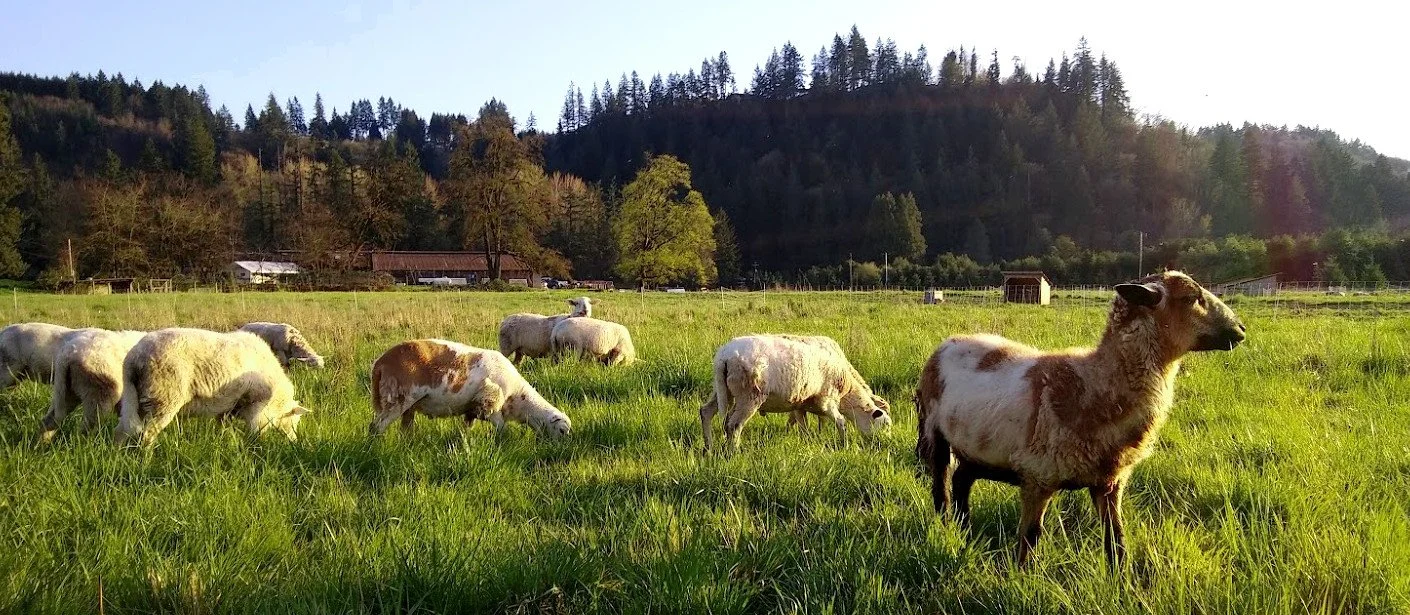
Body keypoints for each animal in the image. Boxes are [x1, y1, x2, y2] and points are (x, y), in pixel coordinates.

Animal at [115, 328, 308, 446]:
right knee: (146, 434)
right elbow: (255, 430)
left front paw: (226, 442)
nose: (294, 441)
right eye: (295, 421)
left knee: (123, 430)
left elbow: (223, 426)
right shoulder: (257, 405)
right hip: (163, 398)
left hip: (135, 398)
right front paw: (254, 447)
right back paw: (146, 460)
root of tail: (134, 358)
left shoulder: (229, 406)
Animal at [368, 339, 571, 438]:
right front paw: (501, 442)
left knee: (405, 430)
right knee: (376, 427)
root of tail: (380, 364)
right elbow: (502, 428)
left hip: (408, 405)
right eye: (562, 431)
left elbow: (467, 427)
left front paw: (464, 441)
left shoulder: (472, 408)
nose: (561, 449)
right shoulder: (491, 405)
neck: (519, 399)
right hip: (398, 398)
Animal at [699, 334, 892, 449]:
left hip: (722, 390)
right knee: (734, 425)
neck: (847, 390)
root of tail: (724, 356)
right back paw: (734, 452)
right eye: (885, 425)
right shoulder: (827, 399)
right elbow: (840, 421)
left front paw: (808, 442)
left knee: (706, 412)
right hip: (749, 396)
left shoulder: (800, 404)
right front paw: (844, 445)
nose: (884, 443)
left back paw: (708, 448)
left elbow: (803, 425)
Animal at [916, 271, 1246, 566]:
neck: (1094, 383)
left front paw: (1122, 583)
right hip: (933, 431)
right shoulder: (1038, 476)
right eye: (1191, 298)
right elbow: (1030, 538)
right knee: (941, 487)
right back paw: (946, 530)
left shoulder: (1110, 481)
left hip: (978, 448)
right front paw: (1022, 579)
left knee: (962, 480)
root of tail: (950, 340)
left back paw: (964, 531)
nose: (1241, 330)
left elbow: (1116, 540)